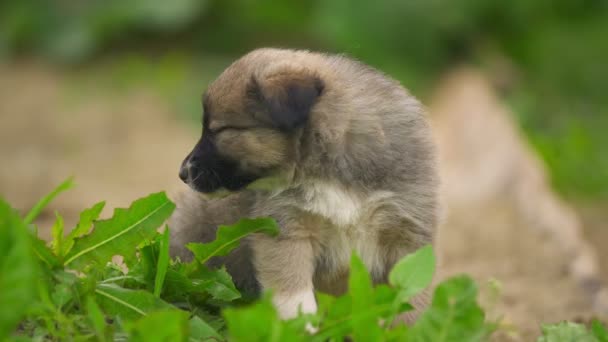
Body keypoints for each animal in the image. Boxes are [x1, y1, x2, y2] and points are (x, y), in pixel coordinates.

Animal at [169, 48, 440, 320]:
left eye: (219, 130)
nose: (182, 173)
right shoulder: (287, 229)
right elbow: (294, 296)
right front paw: (301, 326)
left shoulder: (407, 238)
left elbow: (409, 301)